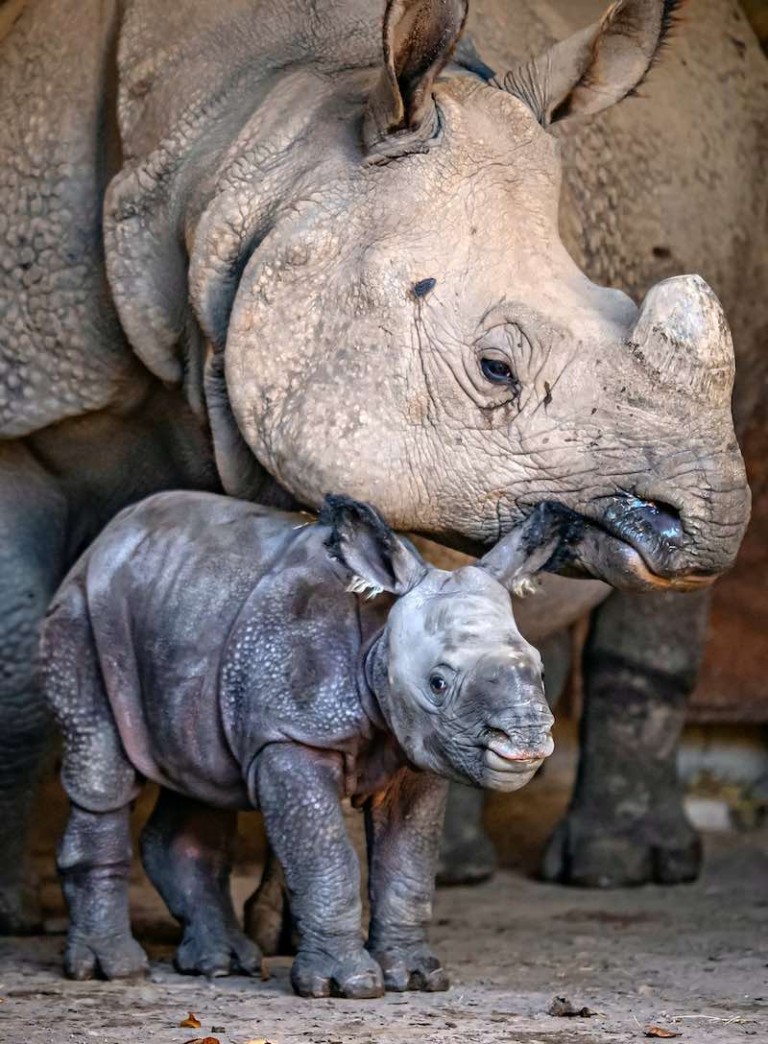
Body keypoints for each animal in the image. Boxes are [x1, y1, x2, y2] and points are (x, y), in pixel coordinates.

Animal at [0, 0, 755, 939]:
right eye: (496, 369)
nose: (715, 520)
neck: (253, 148)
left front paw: (286, 931)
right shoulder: (31, 401)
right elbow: (19, 659)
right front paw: (15, 915)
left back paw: (618, 872)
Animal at [42, 492, 571, 998]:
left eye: (540, 671)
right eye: (438, 683)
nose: (524, 740)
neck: (378, 640)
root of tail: (110, 536)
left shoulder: (418, 750)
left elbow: (408, 865)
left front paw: (416, 976)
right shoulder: (289, 736)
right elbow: (327, 858)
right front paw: (346, 986)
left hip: (187, 605)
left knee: (200, 776)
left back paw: (220, 964)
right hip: (85, 612)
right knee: (103, 773)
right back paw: (114, 970)